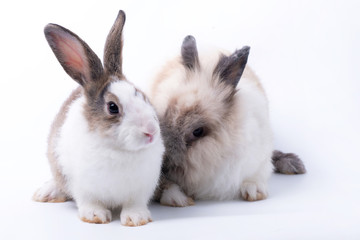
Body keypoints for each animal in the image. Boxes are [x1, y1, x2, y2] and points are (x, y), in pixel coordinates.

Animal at [32, 9, 165, 227]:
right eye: (113, 107)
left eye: (141, 95)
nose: (151, 131)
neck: (118, 150)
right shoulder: (81, 185)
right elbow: (89, 201)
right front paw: (95, 216)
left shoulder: (140, 189)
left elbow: (134, 204)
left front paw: (136, 218)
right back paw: (45, 192)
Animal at [148, 35, 304, 206]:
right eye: (161, 118)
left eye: (198, 131)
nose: (164, 165)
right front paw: (178, 198)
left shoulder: (259, 159)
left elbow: (255, 176)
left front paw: (254, 191)